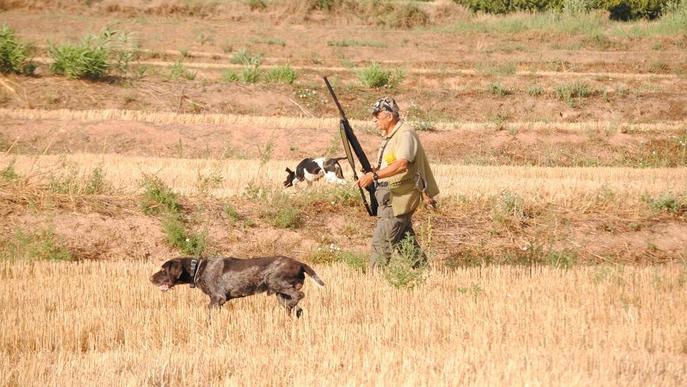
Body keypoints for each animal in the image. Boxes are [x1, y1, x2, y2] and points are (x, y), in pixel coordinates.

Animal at [150, 256, 326, 316]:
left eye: (163, 270)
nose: (150, 278)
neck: (198, 268)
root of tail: (300, 263)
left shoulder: (217, 298)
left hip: (276, 283)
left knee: (299, 296)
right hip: (280, 294)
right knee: (298, 308)